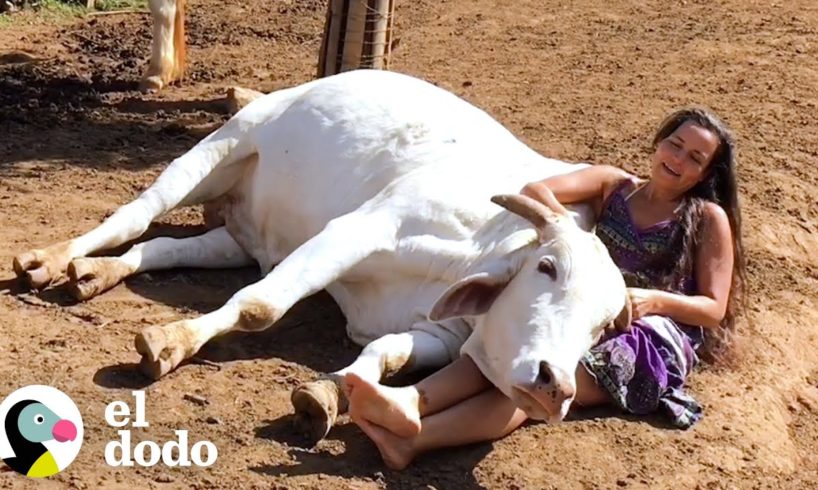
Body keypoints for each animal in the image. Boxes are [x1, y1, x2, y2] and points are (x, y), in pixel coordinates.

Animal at [11, 68, 624, 440]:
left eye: (601, 328)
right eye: (547, 267)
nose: (556, 385)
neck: (481, 247)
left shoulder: (443, 333)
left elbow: (384, 352)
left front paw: (331, 392)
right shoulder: (359, 229)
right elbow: (261, 306)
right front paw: (173, 340)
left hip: (242, 240)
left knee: (161, 246)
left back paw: (94, 273)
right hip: (221, 147)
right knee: (136, 216)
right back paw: (51, 260)